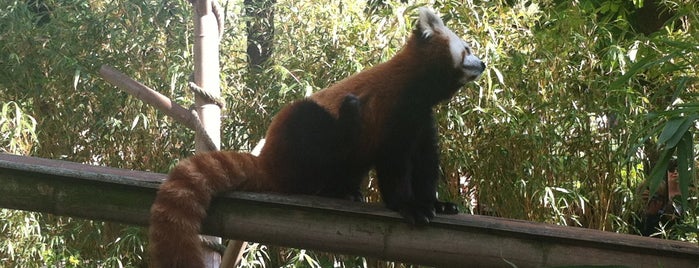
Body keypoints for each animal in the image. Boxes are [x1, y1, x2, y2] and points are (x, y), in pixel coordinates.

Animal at [150, 7, 484, 266]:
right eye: (467, 49)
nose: (482, 63)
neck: (417, 85)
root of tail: (267, 160)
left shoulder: (421, 119)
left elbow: (426, 160)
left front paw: (436, 203)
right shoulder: (393, 111)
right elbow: (394, 164)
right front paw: (407, 205)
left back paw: (346, 190)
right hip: (302, 132)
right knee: (323, 132)